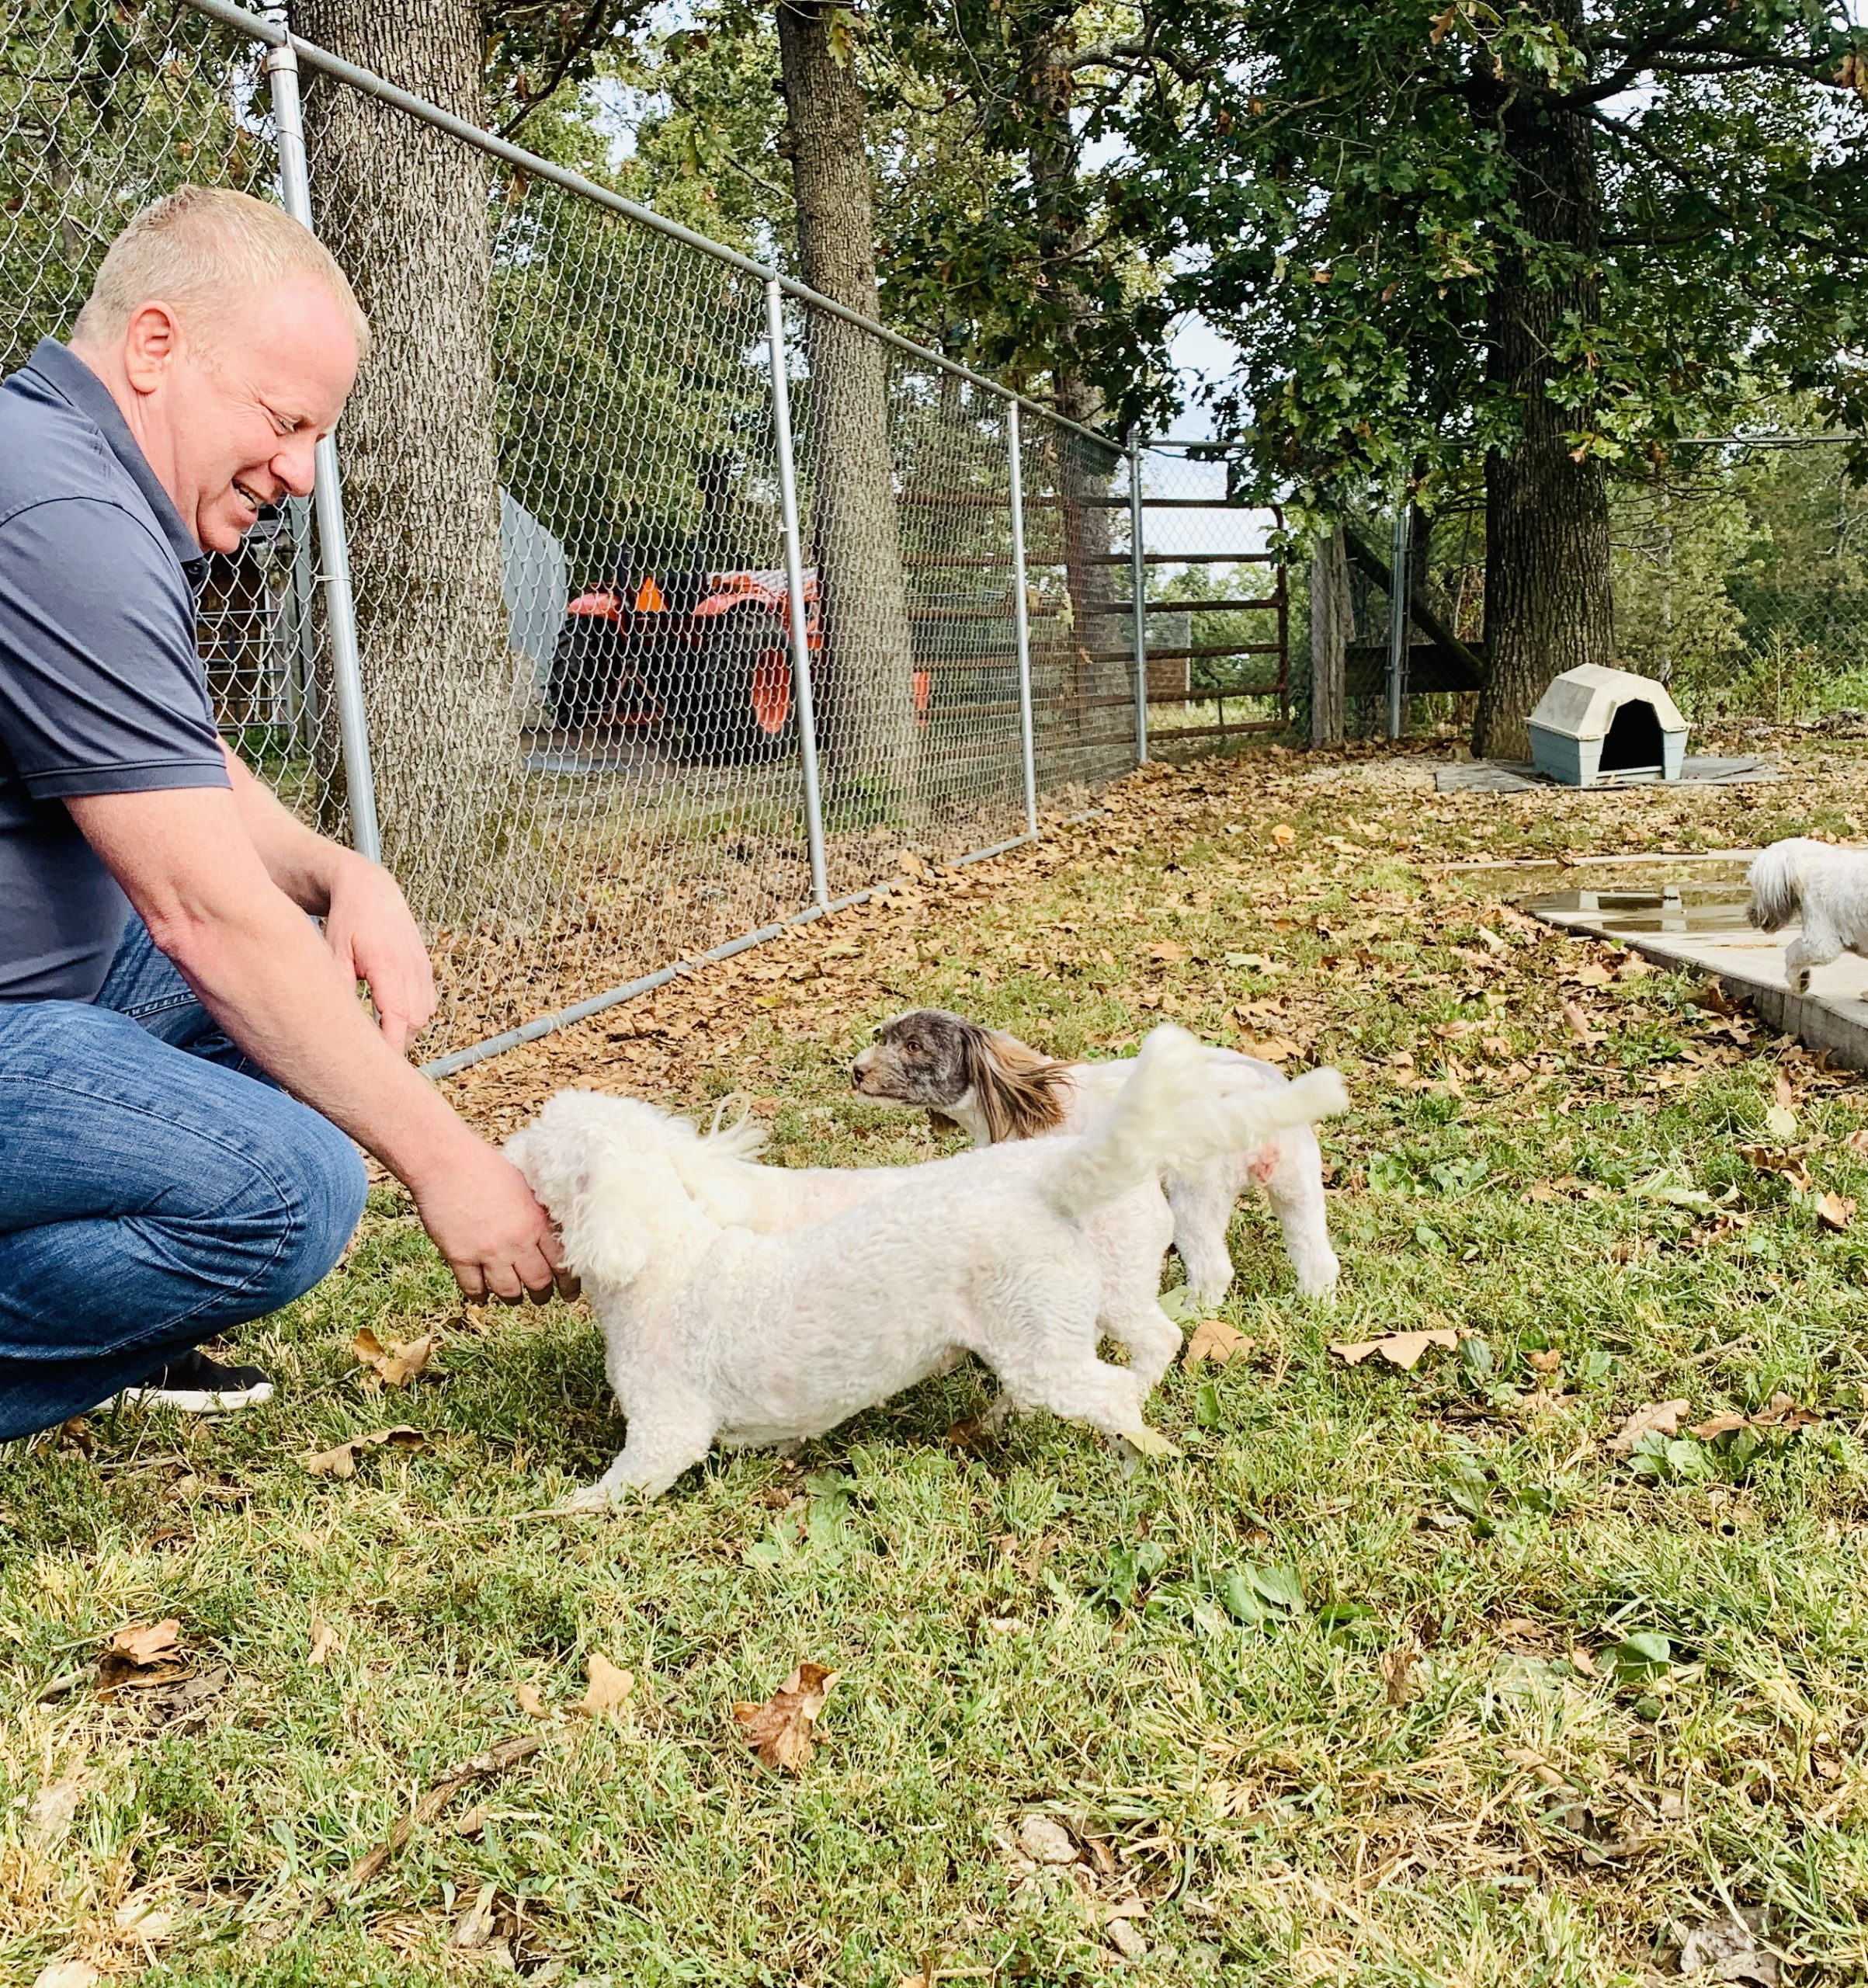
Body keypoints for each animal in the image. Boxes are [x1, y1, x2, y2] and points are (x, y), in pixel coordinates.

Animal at [846, 1010, 1343, 1304]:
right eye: (883, 1037)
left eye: (913, 1046)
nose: (856, 1070)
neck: (1016, 1099)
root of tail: (1257, 1091)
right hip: (1299, 1185)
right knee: (1316, 1254)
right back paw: (1314, 1300)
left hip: (1196, 1191)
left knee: (1212, 1268)